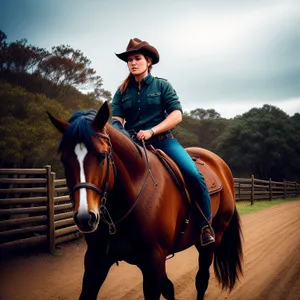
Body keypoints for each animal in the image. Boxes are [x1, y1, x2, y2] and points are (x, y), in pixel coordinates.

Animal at [48, 101, 243, 300]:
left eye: (102, 155)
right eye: (64, 159)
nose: (84, 218)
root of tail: (220, 165)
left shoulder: (153, 263)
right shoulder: (96, 260)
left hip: (212, 240)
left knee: (201, 280)